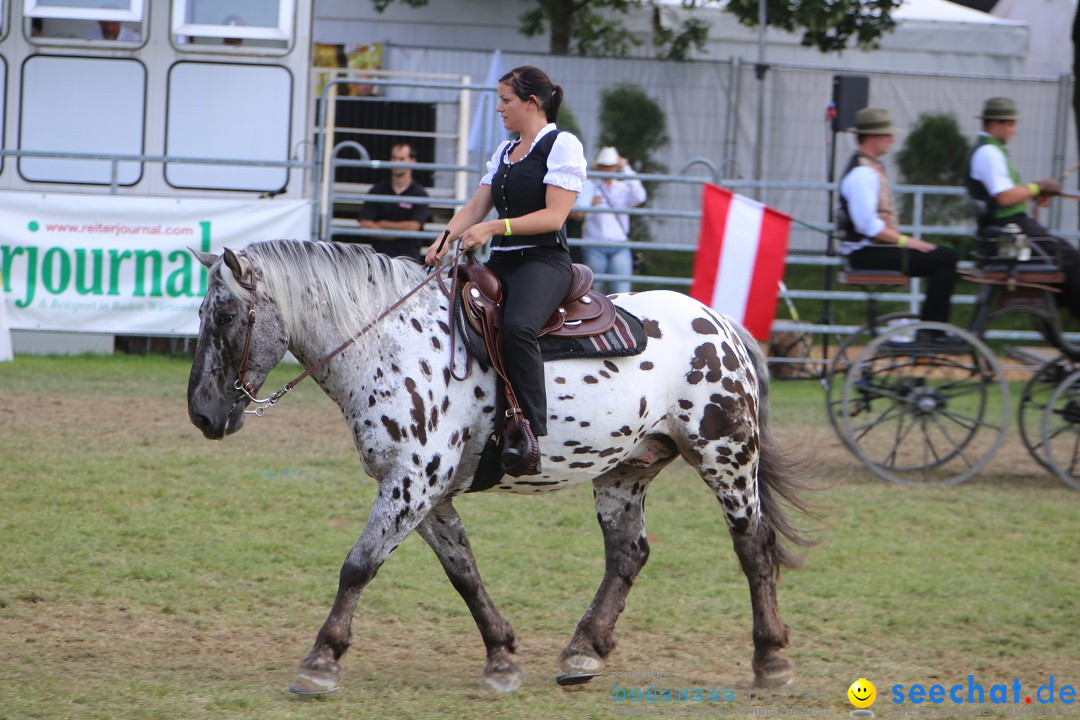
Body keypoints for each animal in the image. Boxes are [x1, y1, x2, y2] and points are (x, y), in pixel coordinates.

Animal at [187, 241, 812, 699]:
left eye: (225, 312)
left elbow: (358, 565)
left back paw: (770, 659)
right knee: (628, 554)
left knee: (753, 546)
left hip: (726, 456)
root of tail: (721, 323)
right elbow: (463, 572)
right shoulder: (426, 493)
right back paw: (583, 651)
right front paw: (501, 657)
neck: (391, 345)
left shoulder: (412, 483)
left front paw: (320, 660)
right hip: (625, 471)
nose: (202, 414)